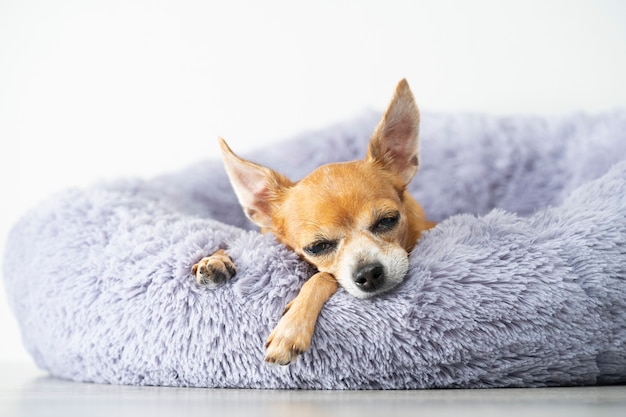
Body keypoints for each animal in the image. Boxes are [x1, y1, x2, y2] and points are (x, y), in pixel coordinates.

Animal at [191, 79, 434, 364]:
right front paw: (216, 259)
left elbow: (323, 277)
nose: (368, 273)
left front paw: (291, 327)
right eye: (317, 247)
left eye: (388, 220)